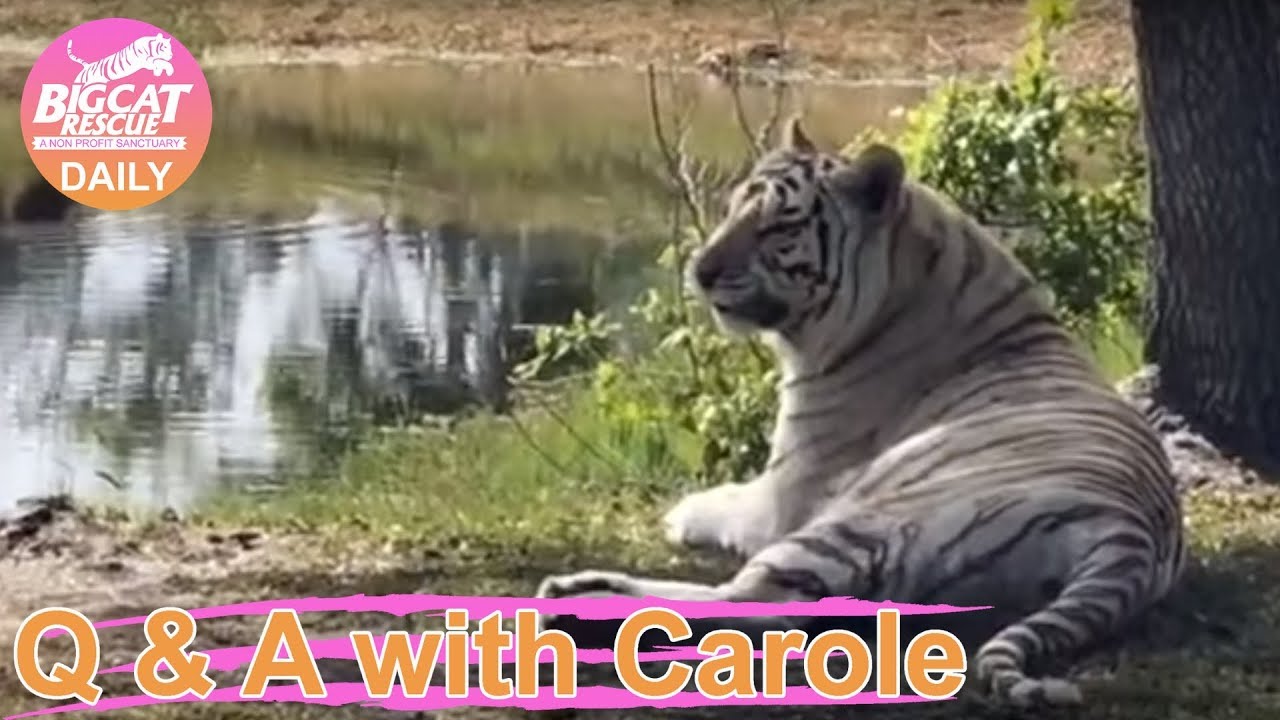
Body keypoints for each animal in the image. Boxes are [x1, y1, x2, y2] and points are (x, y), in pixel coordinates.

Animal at [536, 118, 1185, 708]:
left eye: (779, 225)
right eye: (733, 207)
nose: (701, 271)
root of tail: (1132, 536)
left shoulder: (788, 490)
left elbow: (726, 501)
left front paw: (682, 511)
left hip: (862, 518)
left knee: (758, 608)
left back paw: (576, 602)